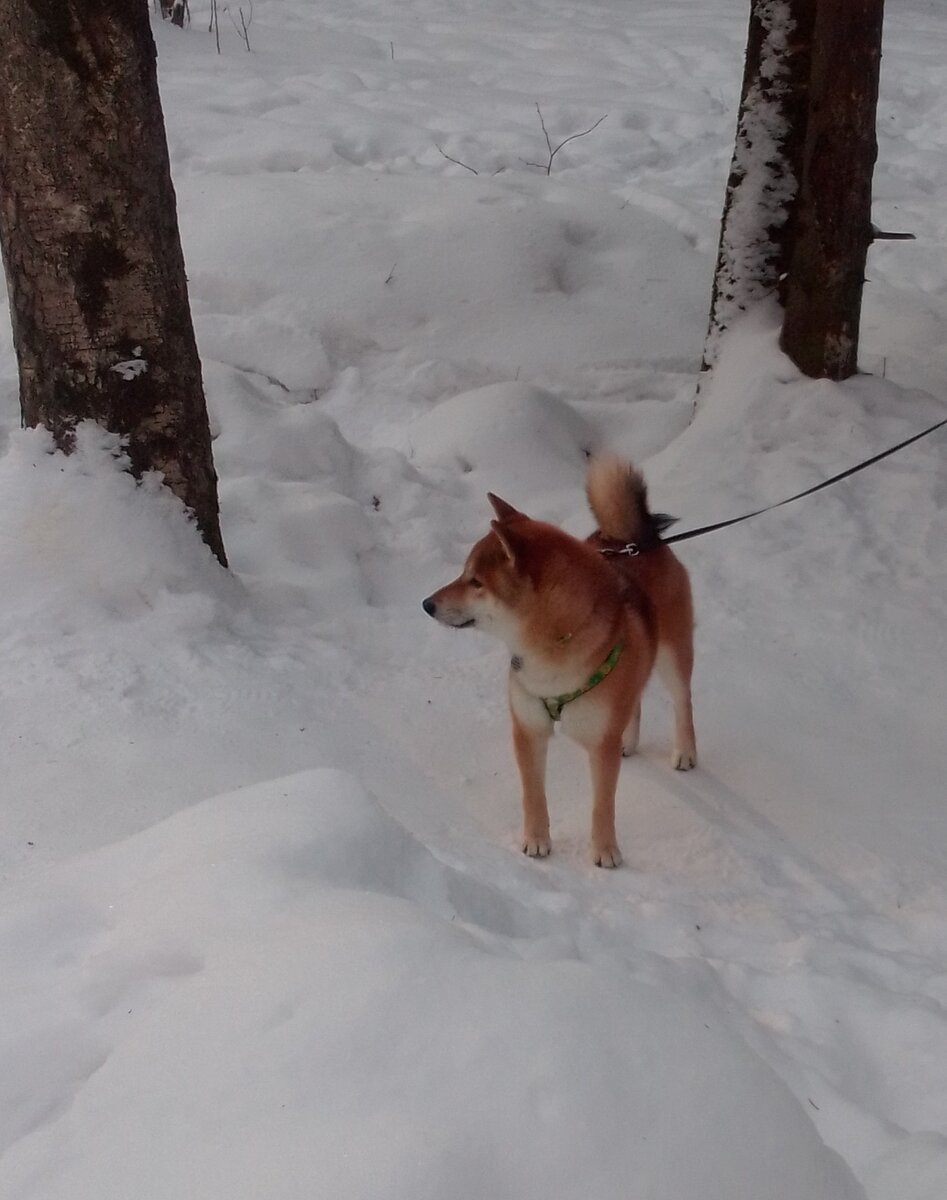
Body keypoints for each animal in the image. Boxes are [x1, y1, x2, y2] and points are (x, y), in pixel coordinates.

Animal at [420, 453, 696, 868]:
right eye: (463, 574)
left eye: (476, 582)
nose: (426, 604)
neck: (551, 649)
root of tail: (634, 541)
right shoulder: (528, 727)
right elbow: (533, 794)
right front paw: (536, 840)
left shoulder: (600, 744)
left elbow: (602, 804)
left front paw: (605, 851)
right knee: (636, 699)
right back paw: (629, 741)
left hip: (673, 654)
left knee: (682, 700)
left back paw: (685, 752)